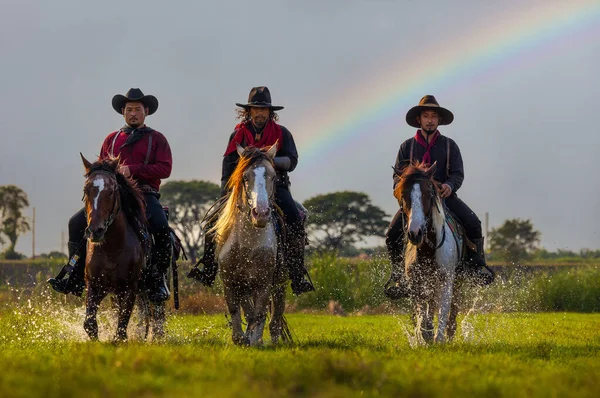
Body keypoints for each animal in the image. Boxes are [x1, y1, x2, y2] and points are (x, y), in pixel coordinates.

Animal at [79, 154, 149, 340]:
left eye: (112, 190)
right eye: (86, 190)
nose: (95, 230)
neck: (111, 249)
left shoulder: (130, 288)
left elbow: (122, 328)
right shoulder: (94, 286)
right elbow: (89, 323)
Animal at [209, 143, 290, 346]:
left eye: (273, 176)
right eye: (245, 177)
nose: (260, 213)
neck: (248, 244)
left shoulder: (264, 283)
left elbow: (259, 314)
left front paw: (255, 339)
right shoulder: (232, 282)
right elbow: (238, 311)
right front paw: (242, 338)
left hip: (280, 283)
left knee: (275, 319)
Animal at [394, 161, 464, 342]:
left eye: (428, 194)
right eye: (403, 195)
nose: (415, 233)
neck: (427, 250)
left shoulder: (446, 280)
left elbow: (443, 313)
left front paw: (438, 339)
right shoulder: (415, 283)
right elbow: (422, 313)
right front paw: (424, 334)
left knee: (452, 312)